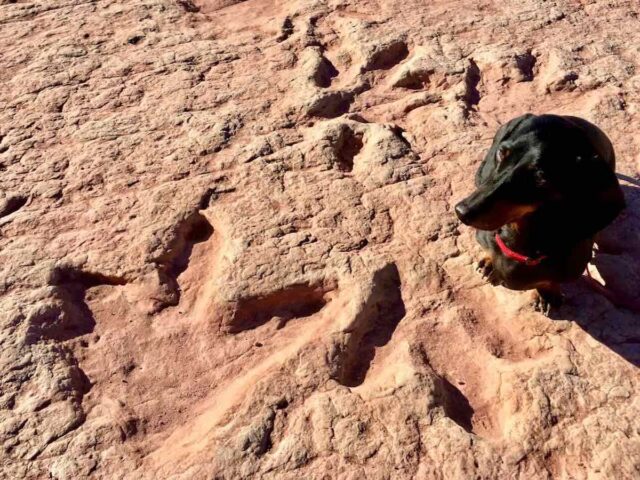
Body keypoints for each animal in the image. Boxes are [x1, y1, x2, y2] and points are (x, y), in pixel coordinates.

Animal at [456, 114, 624, 314]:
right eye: (501, 153)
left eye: (540, 177)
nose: (461, 211)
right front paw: (489, 261)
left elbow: (548, 281)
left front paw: (547, 294)